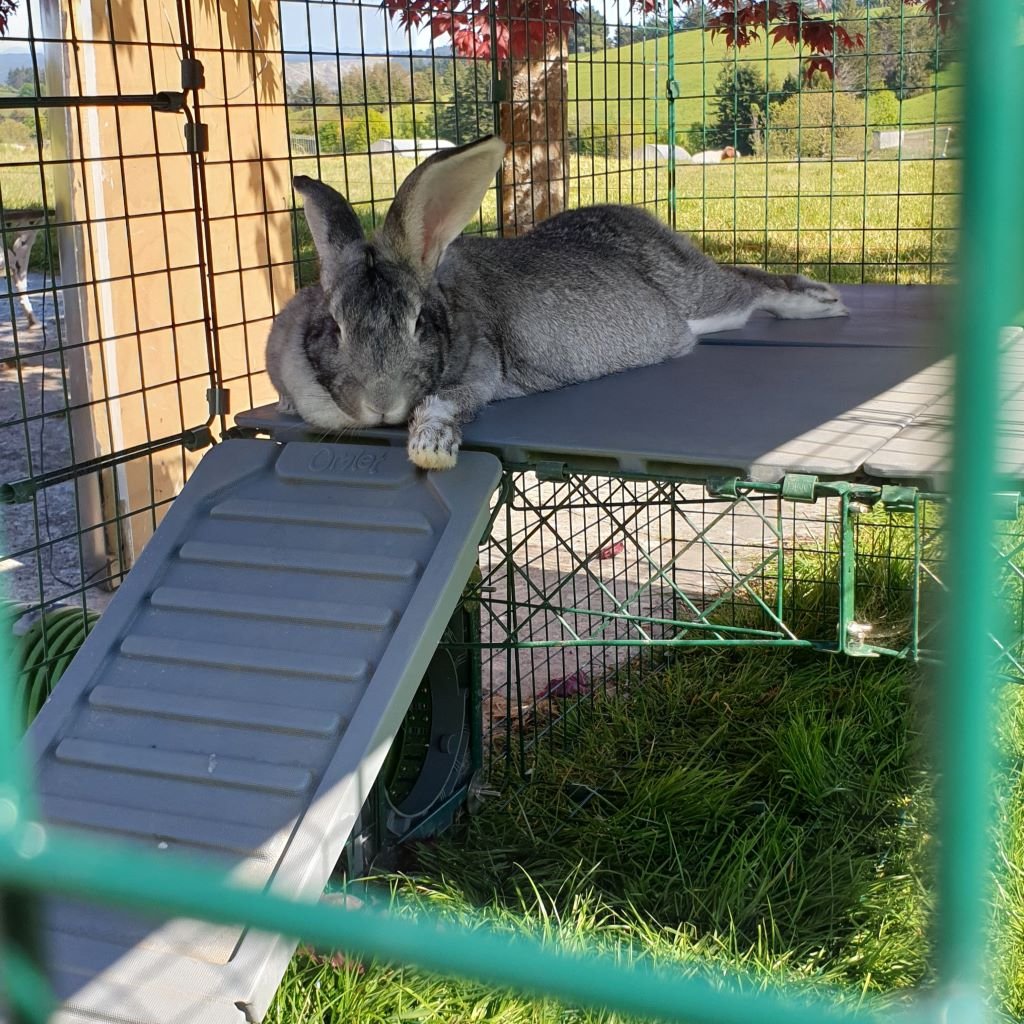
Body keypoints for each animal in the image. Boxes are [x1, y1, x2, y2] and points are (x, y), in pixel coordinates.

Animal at [266, 134, 848, 471]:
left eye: (418, 323)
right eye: (334, 325)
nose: (382, 403)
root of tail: (647, 221)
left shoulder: (480, 369)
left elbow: (443, 403)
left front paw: (430, 451)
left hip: (702, 294)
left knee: (752, 284)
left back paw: (826, 302)